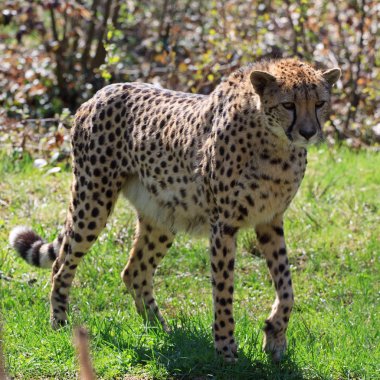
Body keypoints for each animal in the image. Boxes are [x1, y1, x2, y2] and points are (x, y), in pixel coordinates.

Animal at [9, 58, 342, 360]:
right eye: (288, 104)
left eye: (320, 103)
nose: (309, 132)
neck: (275, 144)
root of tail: (101, 92)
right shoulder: (223, 225)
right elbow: (223, 291)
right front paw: (226, 350)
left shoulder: (270, 220)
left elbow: (287, 289)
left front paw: (274, 338)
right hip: (93, 199)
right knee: (61, 264)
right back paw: (59, 323)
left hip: (163, 215)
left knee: (134, 271)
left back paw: (162, 329)